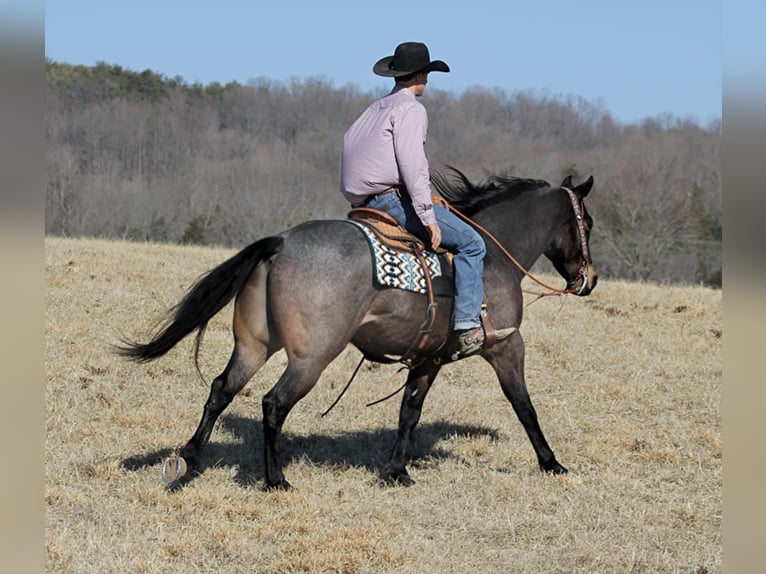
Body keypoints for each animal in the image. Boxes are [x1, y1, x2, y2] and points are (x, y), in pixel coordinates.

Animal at [118, 166, 600, 490]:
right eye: (589, 224)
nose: (589, 279)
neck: (494, 258)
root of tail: (281, 241)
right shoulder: (506, 347)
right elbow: (524, 406)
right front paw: (552, 463)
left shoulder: (428, 358)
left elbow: (409, 412)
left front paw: (396, 471)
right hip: (312, 357)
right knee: (274, 403)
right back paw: (276, 480)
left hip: (253, 345)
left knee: (221, 390)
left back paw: (189, 460)